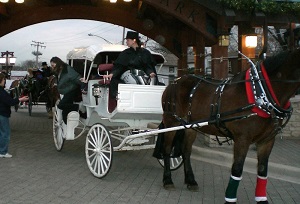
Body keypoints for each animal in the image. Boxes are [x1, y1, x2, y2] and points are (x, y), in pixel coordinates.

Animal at [158, 48, 300, 203]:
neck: (261, 94)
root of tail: (174, 81)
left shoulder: (267, 140)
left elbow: (262, 170)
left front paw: (261, 199)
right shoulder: (242, 139)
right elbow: (237, 169)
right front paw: (230, 198)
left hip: (190, 127)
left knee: (186, 151)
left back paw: (191, 181)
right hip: (171, 122)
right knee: (166, 149)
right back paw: (167, 180)